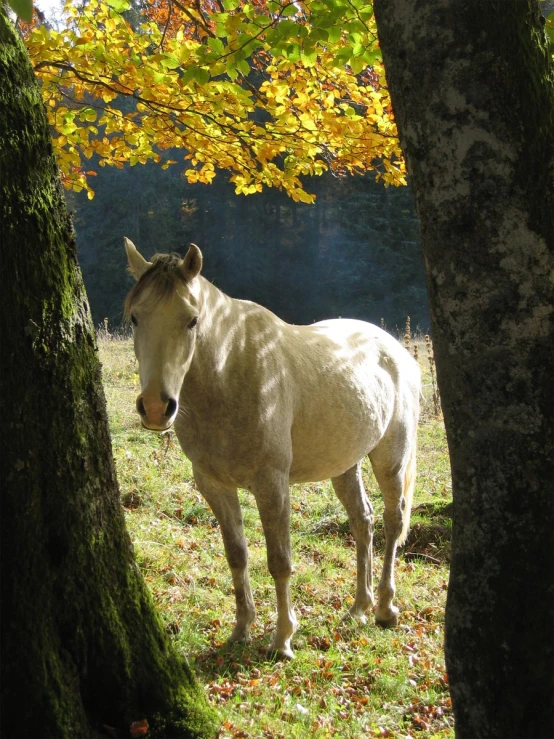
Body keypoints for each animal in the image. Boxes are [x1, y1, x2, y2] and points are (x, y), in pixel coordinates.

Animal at [124, 237, 418, 660]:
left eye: (191, 320)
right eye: (135, 318)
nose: (154, 407)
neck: (230, 371)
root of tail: (393, 349)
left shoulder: (271, 484)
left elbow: (280, 561)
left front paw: (282, 639)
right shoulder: (213, 485)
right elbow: (237, 553)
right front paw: (241, 629)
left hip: (390, 459)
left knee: (394, 522)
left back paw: (384, 607)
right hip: (345, 464)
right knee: (363, 521)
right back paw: (358, 607)